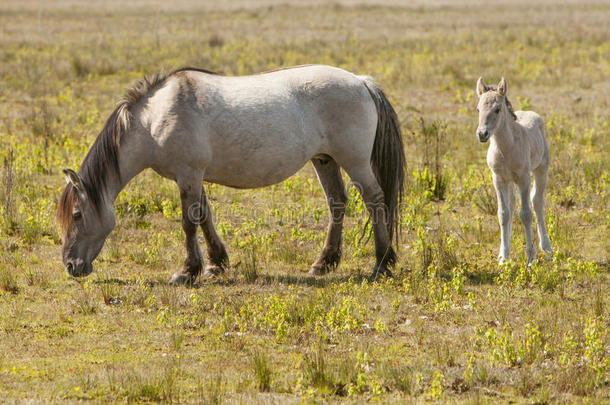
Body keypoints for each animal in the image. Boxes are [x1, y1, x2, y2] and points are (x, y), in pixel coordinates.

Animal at [58, 64, 404, 282]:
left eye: (77, 214)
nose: (71, 266)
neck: (154, 118)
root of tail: (360, 81)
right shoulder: (194, 176)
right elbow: (205, 216)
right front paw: (216, 264)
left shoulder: (188, 174)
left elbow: (189, 222)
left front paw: (187, 271)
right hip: (325, 160)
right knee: (337, 203)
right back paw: (324, 263)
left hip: (354, 161)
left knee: (375, 201)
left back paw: (382, 263)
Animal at [476, 77, 552, 264]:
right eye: (478, 109)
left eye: (497, 109)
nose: (482, 134)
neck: (506, 148)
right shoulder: (498, 179)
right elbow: (503, 214)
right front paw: (503, 258)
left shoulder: (523, 179)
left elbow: (525, 213)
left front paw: (530, 257)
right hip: (509, 181)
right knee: (511, 206)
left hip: (541, 168)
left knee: (537, 202)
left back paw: (547, 249)